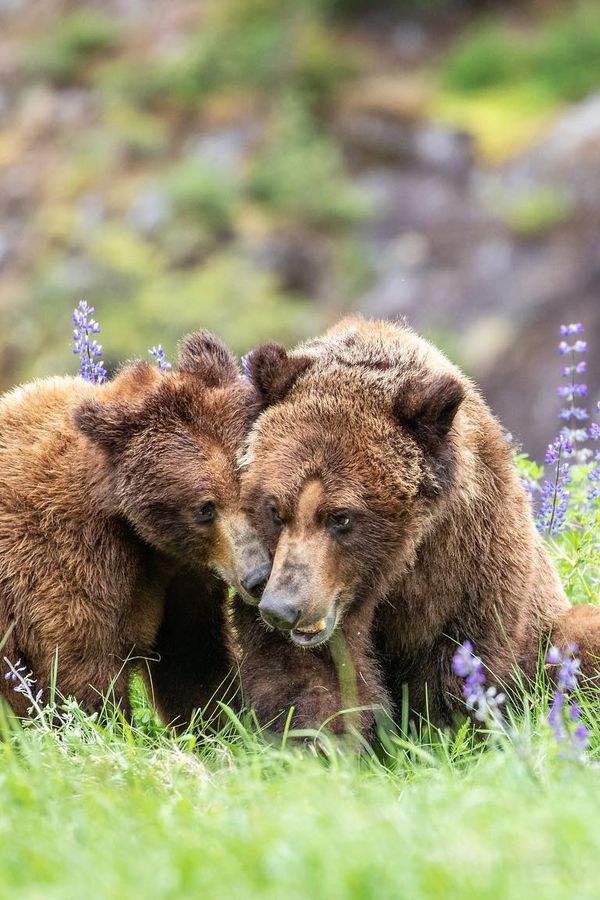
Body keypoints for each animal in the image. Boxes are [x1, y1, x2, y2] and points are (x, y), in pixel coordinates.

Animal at [0, 331, 271, 725]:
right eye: (205, 508)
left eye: (254, 491)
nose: (259, 576)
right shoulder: (64, 558)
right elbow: (78, 670)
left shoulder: (184, 576)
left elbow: (194, 661)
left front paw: (225, 723)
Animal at [232, 316, 596, 738]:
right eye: (276, 510)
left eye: (341, 516)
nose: (282, 608)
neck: (395, 565)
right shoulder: (273, 570)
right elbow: (311, 675)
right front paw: (319, 738)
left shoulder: (468, 559)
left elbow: (458, 665)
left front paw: (445, 733)